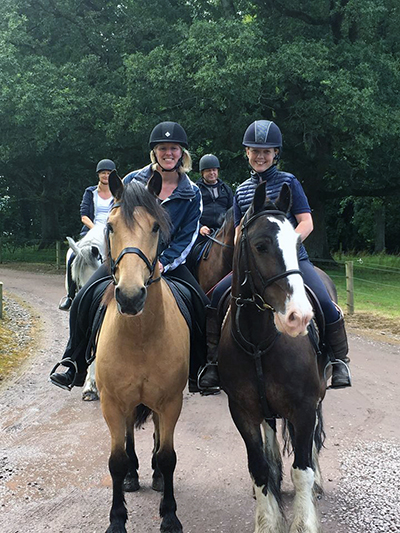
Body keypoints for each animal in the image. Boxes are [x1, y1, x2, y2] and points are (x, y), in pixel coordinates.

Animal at [94, 170, 190, 532]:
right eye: (110, 226)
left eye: (155, 227)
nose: (131, 297)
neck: (140, 337)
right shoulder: (111, 402)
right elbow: (116, 459)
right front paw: (117, 519)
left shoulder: (170, 401)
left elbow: (168, 455)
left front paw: (170, 516)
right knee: (127, 439)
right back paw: (134, 475)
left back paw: (156, 476)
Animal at [219, 181, 328, 528]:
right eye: (261, 246)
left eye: (296, 241)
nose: (299, 317)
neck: (259, 341)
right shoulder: (242, 411)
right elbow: (259, 469)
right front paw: (269, 521)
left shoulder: (304, 407)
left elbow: (302, 471)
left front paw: (304, 523)